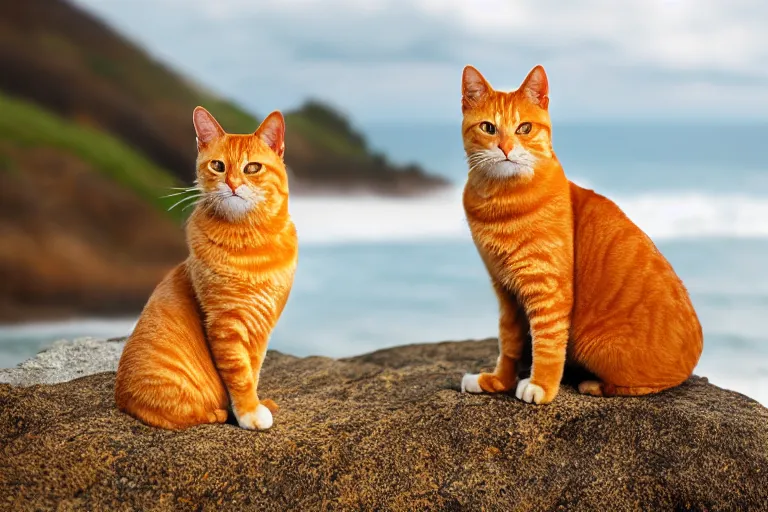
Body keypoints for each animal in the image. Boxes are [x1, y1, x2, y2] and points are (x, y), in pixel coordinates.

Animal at [115, 107, 298, 428]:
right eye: (218, 166)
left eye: (252, 168)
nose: (233, 184)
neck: (250, 242)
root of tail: (122, 400)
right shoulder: (226, 324)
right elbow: (240, 374)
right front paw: (249, 412)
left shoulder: (262, 324)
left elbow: (254, 370)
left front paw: (255, 403)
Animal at [456, 65, 704, 404]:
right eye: (488, 128)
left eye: (524, 128)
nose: (505, 148)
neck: (501, 201)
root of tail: (695, 353)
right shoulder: (506, 291)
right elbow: (509, 343)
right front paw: (496, 381)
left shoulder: (548, 289)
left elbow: (547, 343)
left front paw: (541, 386)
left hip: (596, 346)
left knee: (646, 386)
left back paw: (593, 384)